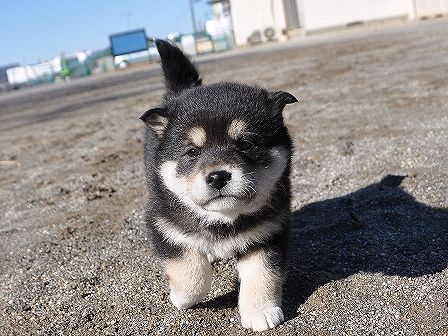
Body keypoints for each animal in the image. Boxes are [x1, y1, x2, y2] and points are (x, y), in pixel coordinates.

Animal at [141, 39, 298, 330]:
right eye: (192, 152)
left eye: (245, 143)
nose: (217, 176)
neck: (223, 218)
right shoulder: (163, 224)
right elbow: (190, 270)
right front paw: (181, 297)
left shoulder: (268, 231)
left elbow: (262, 273)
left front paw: (260, 311)